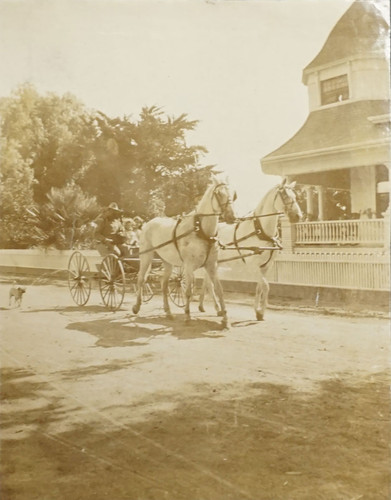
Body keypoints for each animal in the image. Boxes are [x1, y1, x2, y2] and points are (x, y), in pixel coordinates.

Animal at [132, 176, 236, 328]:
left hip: (167, 262)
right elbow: (188, 292)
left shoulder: (211, 265)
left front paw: (225, 319)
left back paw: (168, 312)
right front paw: (187, 316)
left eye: (233, 195)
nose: (232, 217)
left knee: (163, 284)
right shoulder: (188, 265)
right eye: (219, 194)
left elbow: (219, 290)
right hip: (146, 256)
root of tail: (147, 223)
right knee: (141, 279)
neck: (201, 231)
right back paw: (136, 306)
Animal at [199, 180, 304, 320]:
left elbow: (259, 287)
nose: (298, 216)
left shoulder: (266, 266)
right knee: (210, 285)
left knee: (207, 282)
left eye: (295, 196)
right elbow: (266, 286)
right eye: (285, 195)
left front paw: (258, 312)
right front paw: (260, 311)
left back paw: (205, 306)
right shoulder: (254, 266)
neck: (261, 231)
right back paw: (217, 309)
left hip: (214, 263)